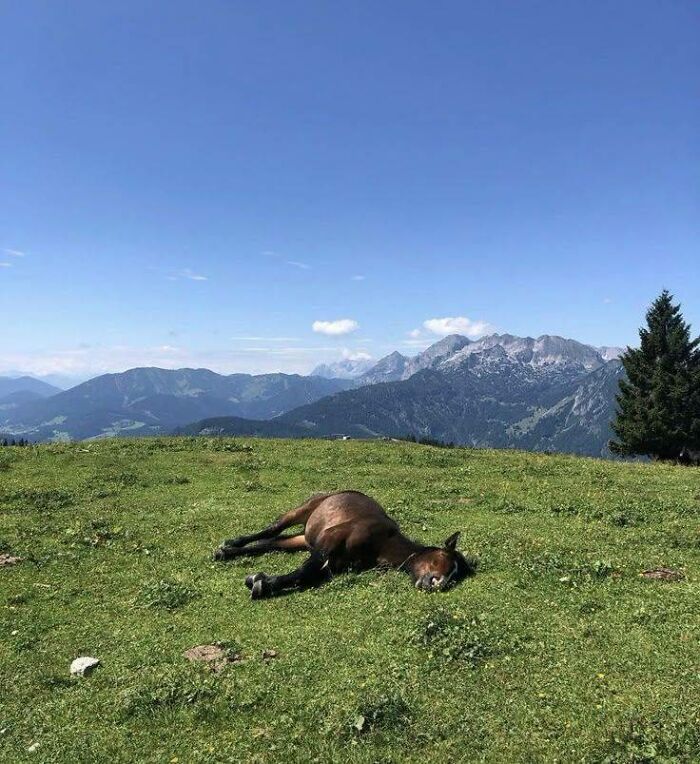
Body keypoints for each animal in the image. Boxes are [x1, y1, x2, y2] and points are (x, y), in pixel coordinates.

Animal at [214, 491, 475, 599]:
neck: (382, 543)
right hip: (303, 511)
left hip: (302, 539)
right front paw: (260, 584)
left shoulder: (335, 563)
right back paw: (229, 544)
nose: (437, 584)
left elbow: (308, 575)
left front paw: (261, 581)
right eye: (443, 558)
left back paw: (227, 552)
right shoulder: (329, 542)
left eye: (455, 576)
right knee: (272, 530)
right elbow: (305, 571)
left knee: (270, 543)